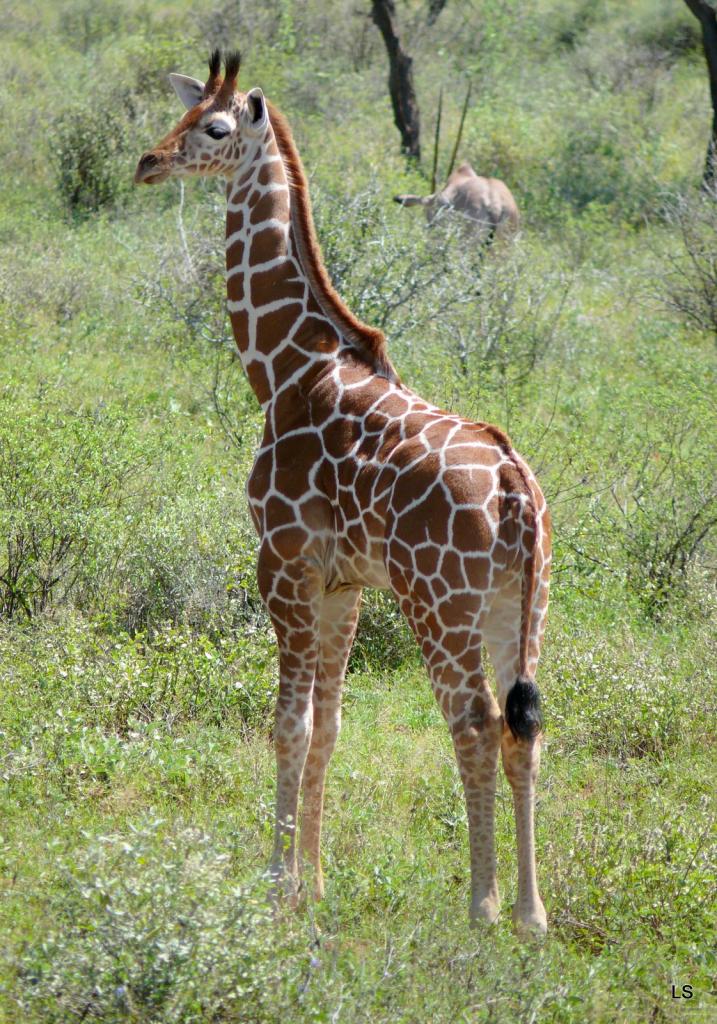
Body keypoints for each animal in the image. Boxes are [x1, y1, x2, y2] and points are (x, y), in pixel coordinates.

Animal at [133, 51, 549, 937]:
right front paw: (313, 885)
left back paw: (481, 906)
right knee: (523, 724)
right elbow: (328, 725)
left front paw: (273, 885)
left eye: (212, 128)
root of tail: (511, 482)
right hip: (518, 601)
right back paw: (531, 914)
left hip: (440, 602)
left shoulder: (282, 563)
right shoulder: (343, 583)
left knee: (473, 721)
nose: (149, 161)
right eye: (181, 113)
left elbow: (287, 725)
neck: (285, 369)